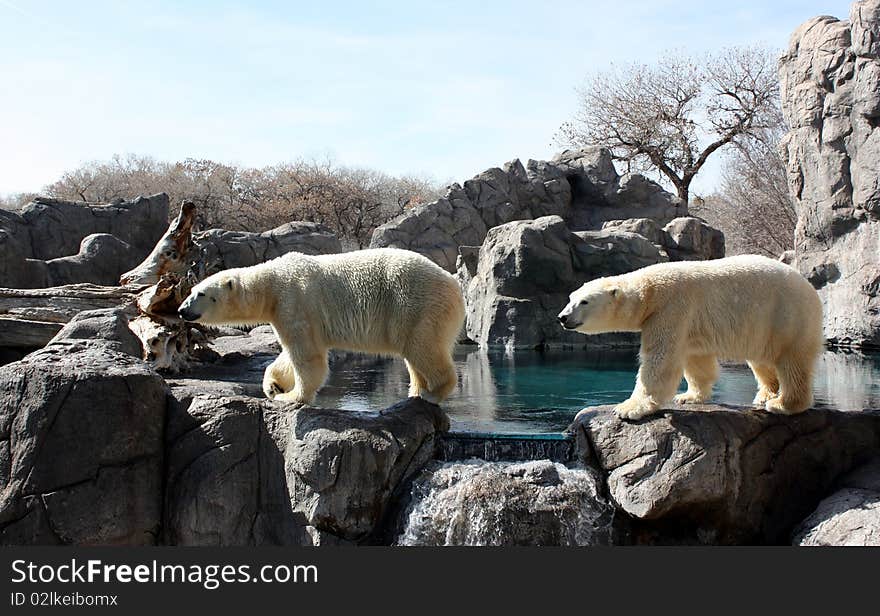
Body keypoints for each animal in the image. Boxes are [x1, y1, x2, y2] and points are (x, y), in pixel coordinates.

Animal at [178, 248, 468, 406]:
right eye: (191, 290)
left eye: (201, 293)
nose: (181, 310)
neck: (271, 283)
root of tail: (456, 286)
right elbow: (290, 354)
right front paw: (273, 385)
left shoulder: (294, 301)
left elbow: (306, 355)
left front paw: (292, 396)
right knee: (414, 354)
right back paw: (415, 393)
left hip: (416, 305)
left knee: (423, 348)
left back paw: (432, 393)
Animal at [556, 256, 824, 424]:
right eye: (571, 297)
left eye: (584, 302)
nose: (563, 317)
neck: (649, 291)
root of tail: (810, 288)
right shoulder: (689, 322)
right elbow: (696, 360)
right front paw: (688, 397)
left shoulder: (671, 308)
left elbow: (660, 360)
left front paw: (627, 409)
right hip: (764, 325)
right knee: (762, 360)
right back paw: (766, 394)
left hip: (787, 315)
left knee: (792, 361)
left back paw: (783, 404)